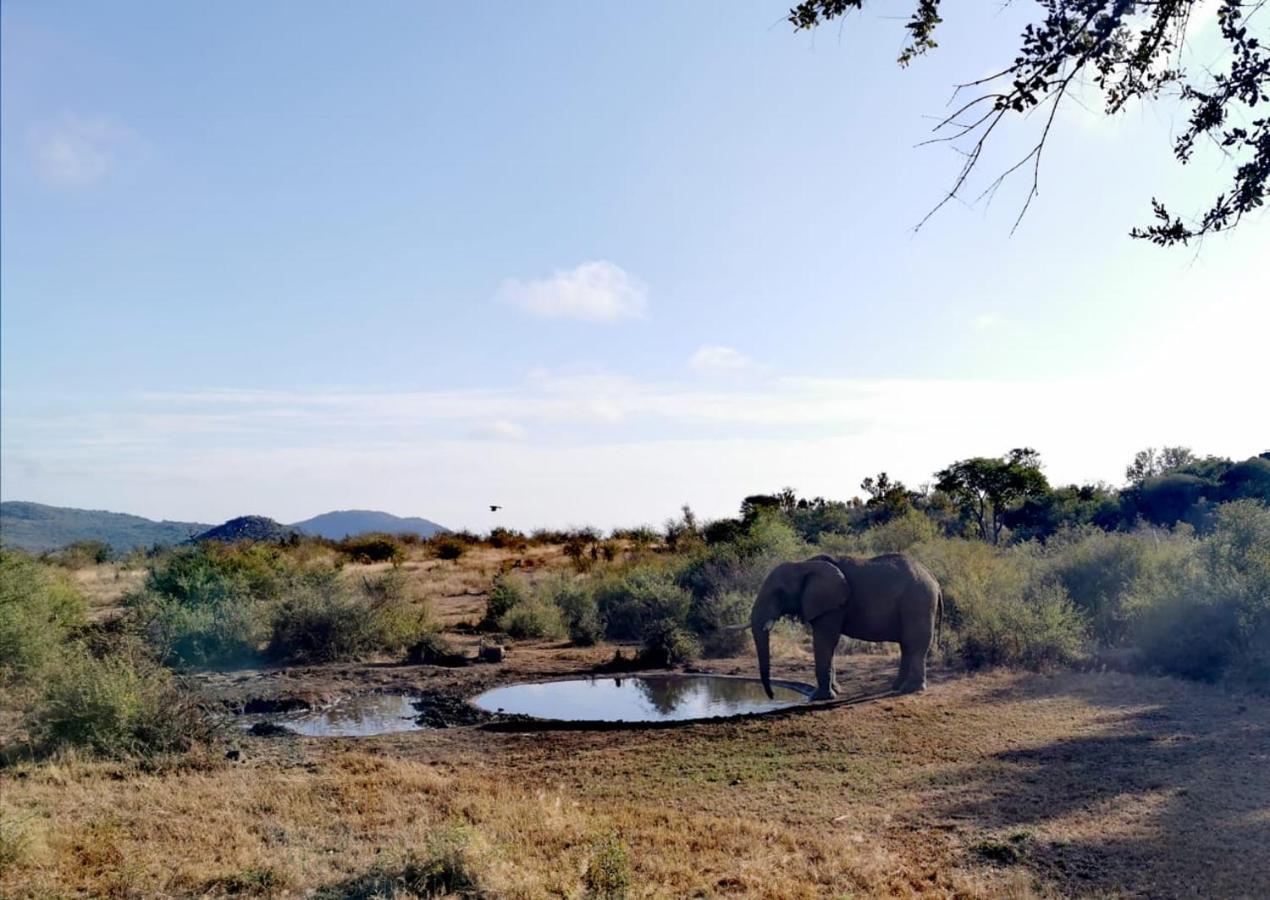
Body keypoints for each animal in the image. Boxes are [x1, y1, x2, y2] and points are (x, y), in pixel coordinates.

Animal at [751, 548, 944, 700]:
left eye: (779, 593)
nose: (772, 696)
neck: (803, 565)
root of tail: (933, 578)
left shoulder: (833, 606)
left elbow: (825, 640)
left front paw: (818, 697)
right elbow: (829, 644)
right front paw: (836, 691)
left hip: (918, 601)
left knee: (914, 644)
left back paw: (909, 689)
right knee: (906, 645)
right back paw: (897, 687)